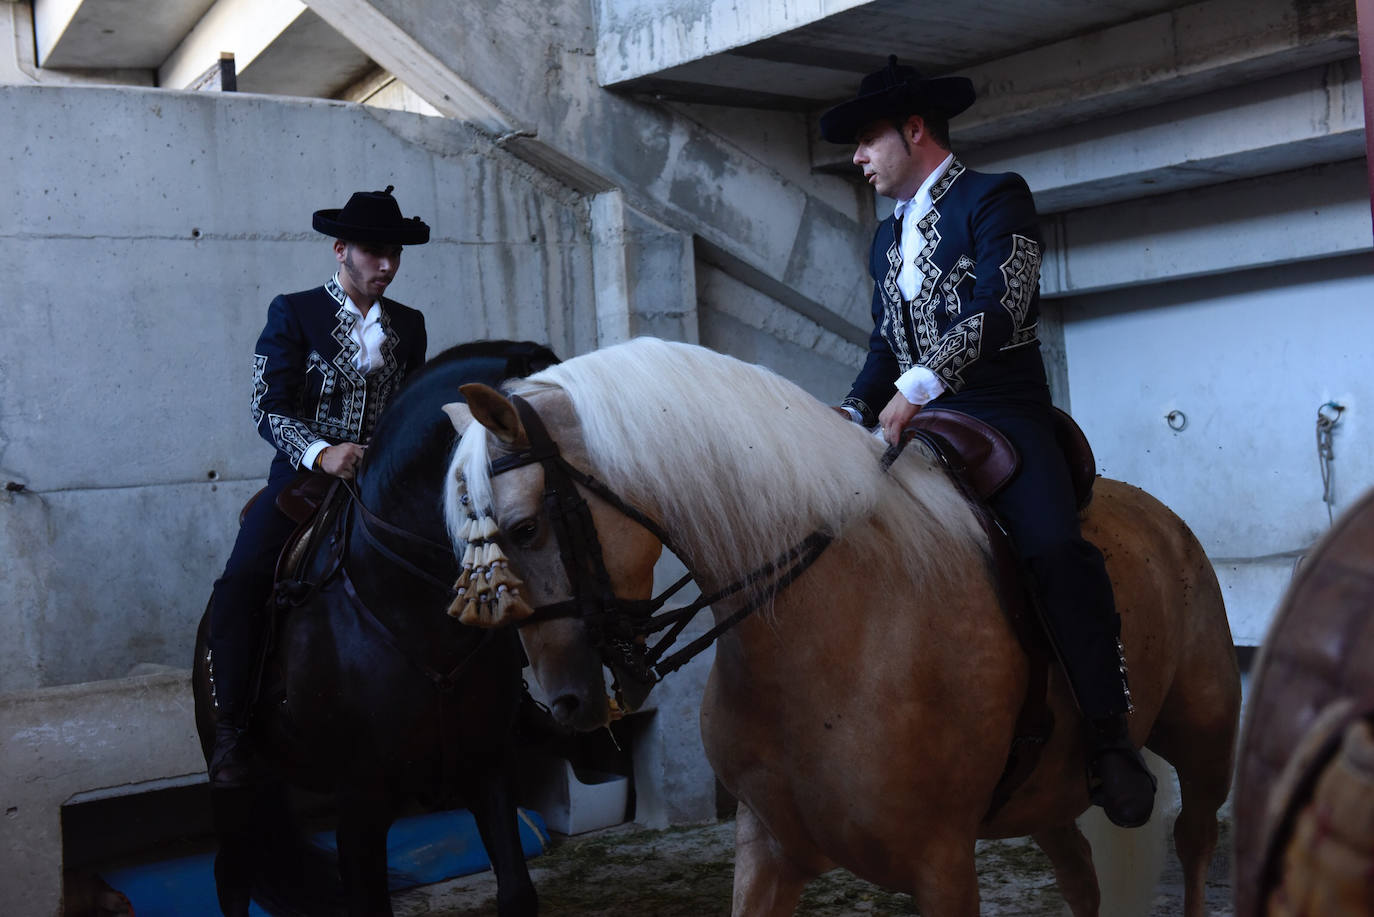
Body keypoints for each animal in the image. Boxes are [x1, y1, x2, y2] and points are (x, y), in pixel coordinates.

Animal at [193, 339, 557, 917]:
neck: (413, 604)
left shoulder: (488, 764)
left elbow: (518, 891)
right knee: (232, 876)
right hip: (238, 790)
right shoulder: (362, 798)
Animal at [442, 339, 1247, 917]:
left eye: (525, 527)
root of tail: (1158, 514)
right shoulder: (768, 849)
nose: (561, 703)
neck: (825, 633)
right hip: (1044, 793)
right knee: (1082, 875)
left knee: (1197, 838)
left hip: (1203, 740)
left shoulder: (942, 866)